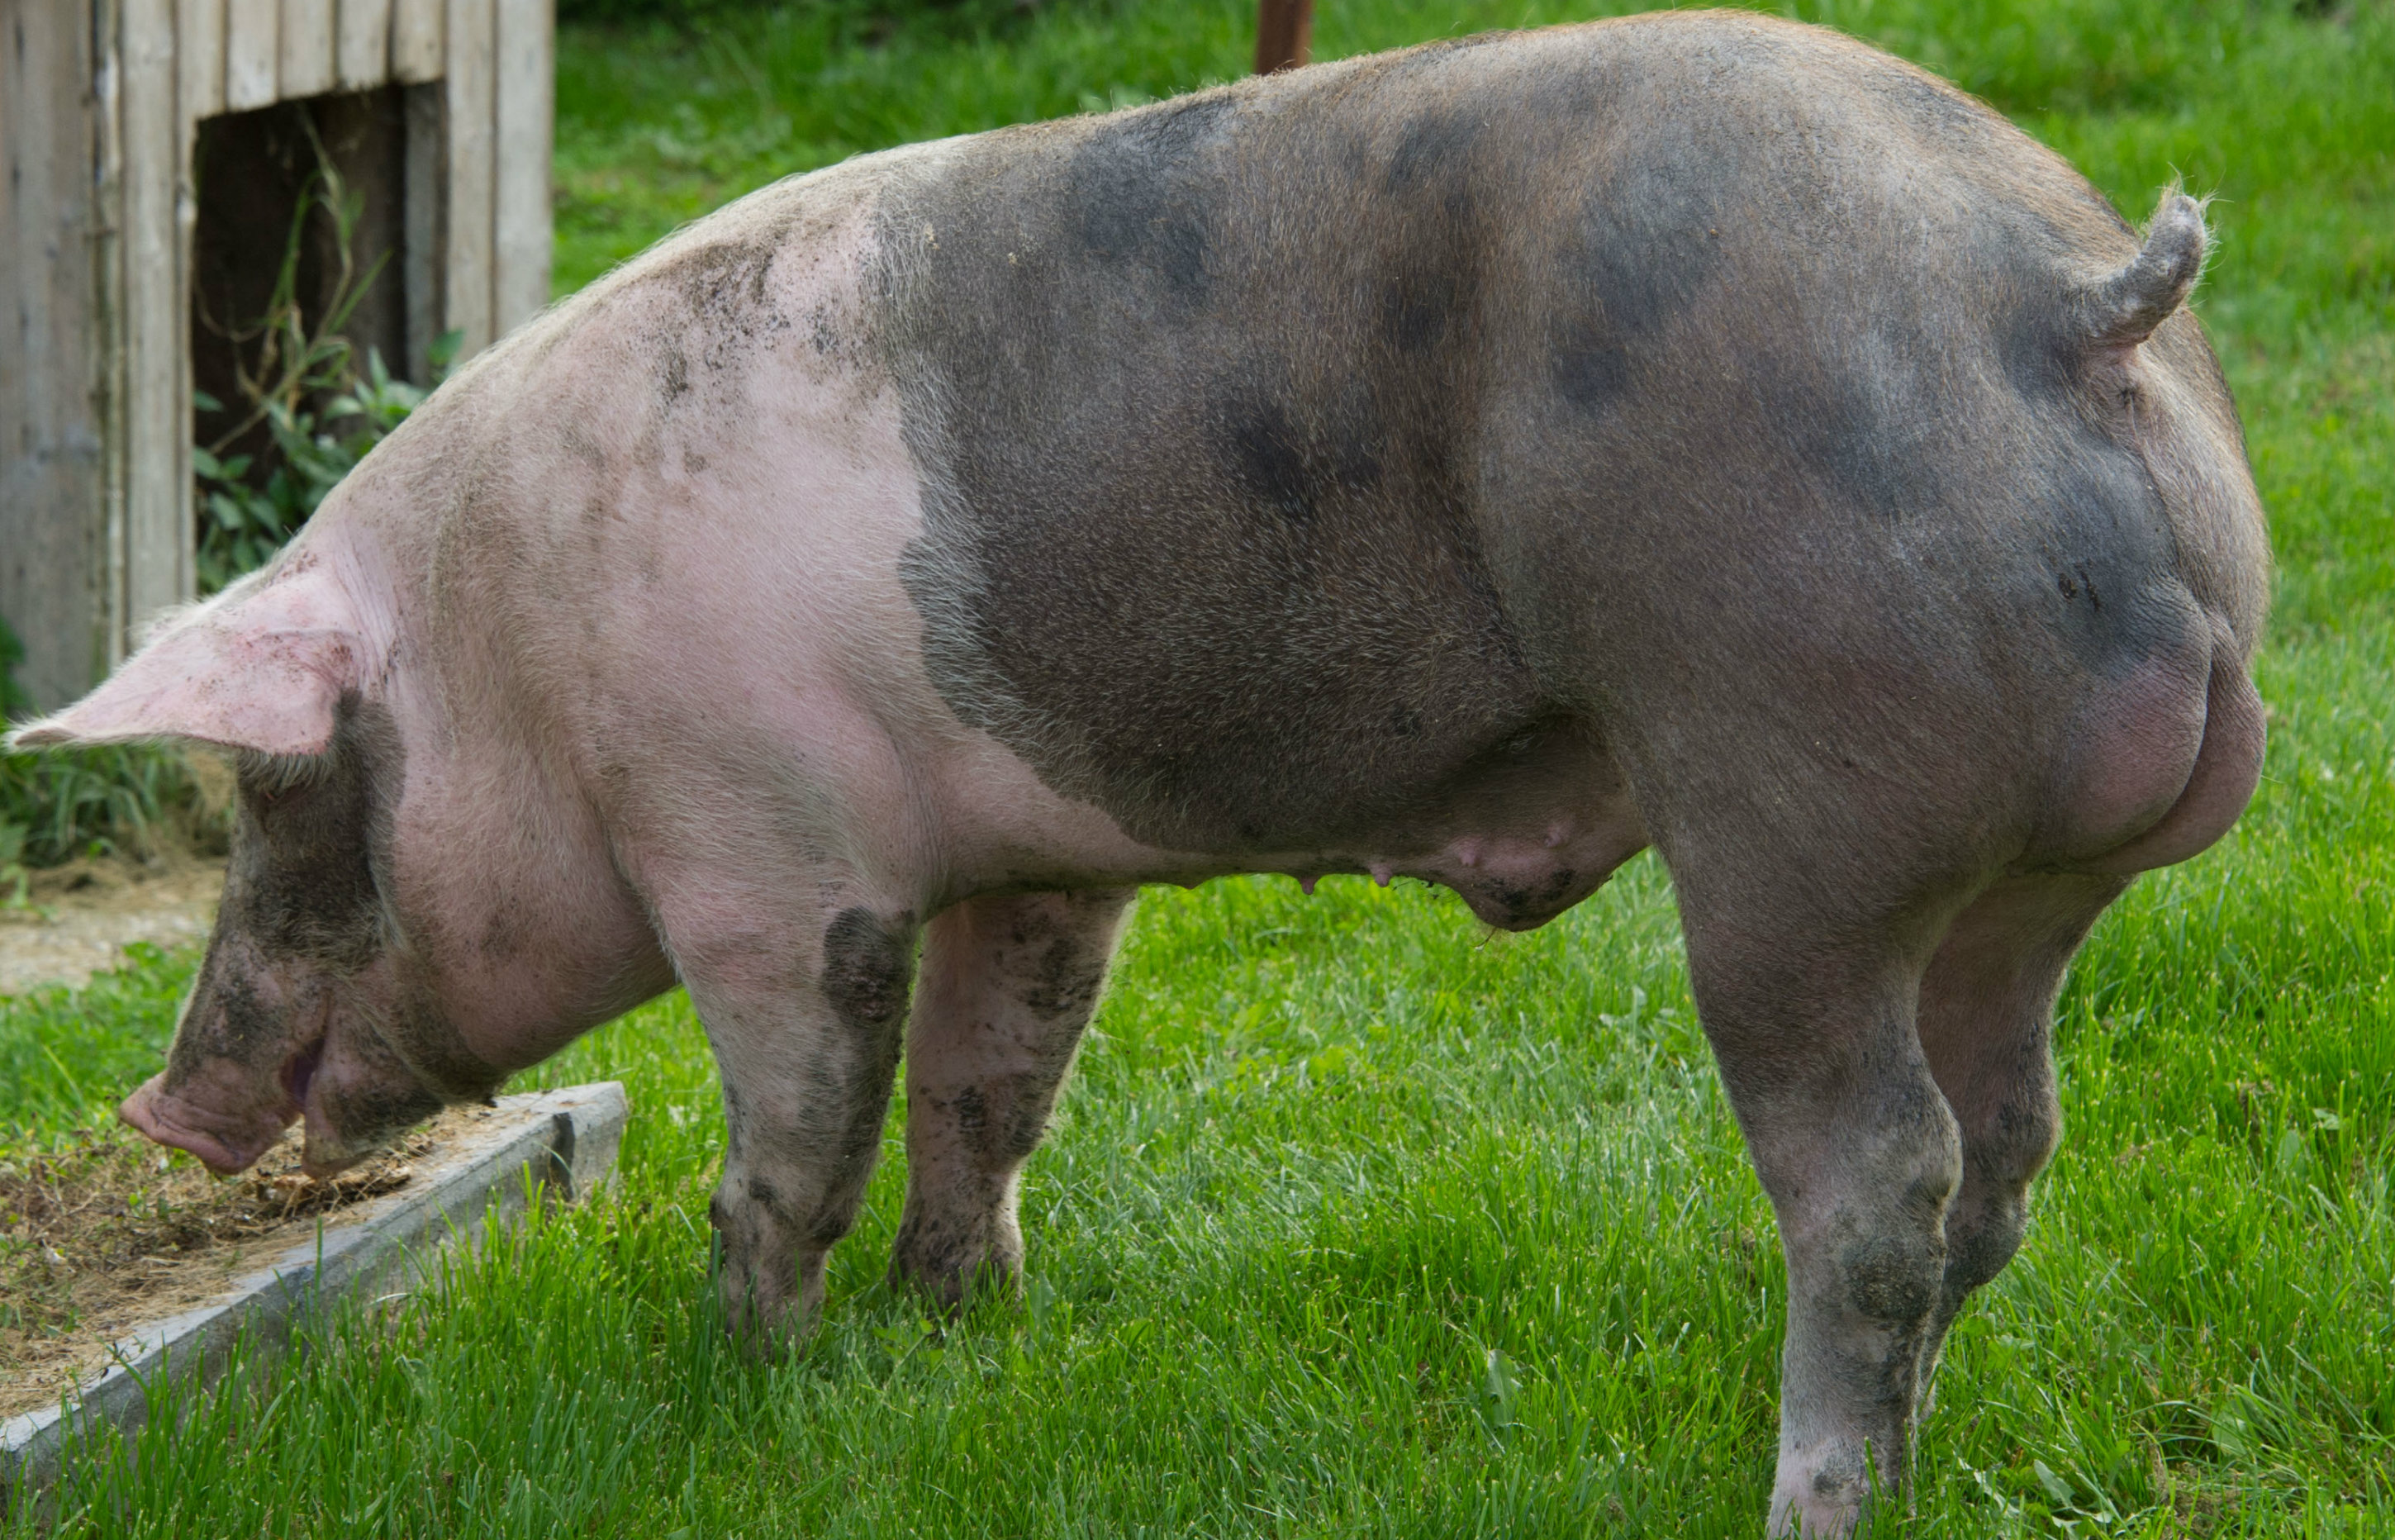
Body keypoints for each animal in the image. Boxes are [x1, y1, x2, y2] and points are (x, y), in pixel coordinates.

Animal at [8, 12, 2266, 1532]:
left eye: (269, 793)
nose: (158, 1103)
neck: (515, 649)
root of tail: (2065, 299)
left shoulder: (764, 852)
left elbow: (800, 1133)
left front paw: (737, 1373)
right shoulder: (1034, 859)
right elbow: (990, 1091)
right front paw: (951, 1334)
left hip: (1789, 820)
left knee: (1881, 1174)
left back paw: (1807, 1496)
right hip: (2027, 885)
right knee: (2009, 1147)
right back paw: (1909, 1442)